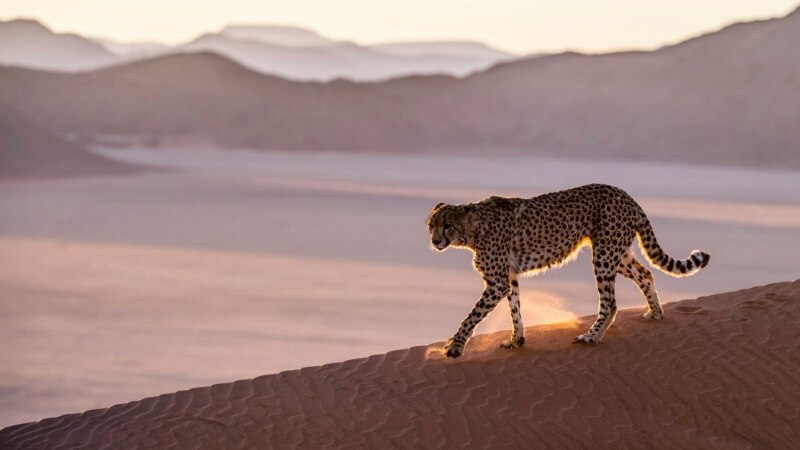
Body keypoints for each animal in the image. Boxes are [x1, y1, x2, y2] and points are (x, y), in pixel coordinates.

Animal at [428, 184, 708, 358]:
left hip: (604, 255)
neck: (472, 229)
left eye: (448, 225)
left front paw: (455, 346)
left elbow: (472, 316)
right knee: (645, 274)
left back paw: (592, 336)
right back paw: (655, 312)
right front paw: (516, 339)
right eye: (431, 225)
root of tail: (623, 193)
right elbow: (514, 309)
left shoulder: (497, 282)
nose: (435, 241)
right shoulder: (509, 277)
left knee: (610, 302)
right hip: (617, 254)